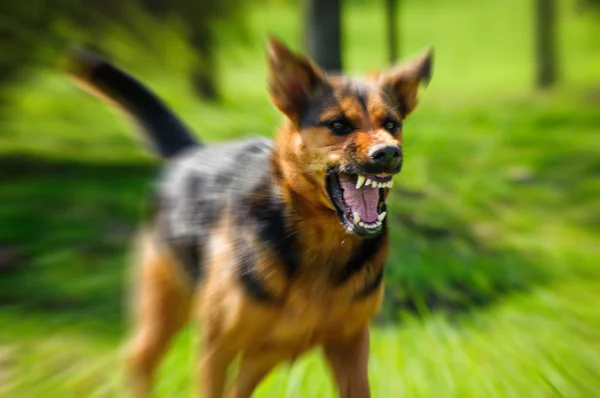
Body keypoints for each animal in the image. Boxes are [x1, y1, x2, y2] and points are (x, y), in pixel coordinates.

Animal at [64, 35, 432, 396]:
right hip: (164, 311)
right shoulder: (216, 348)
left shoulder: (350, 344)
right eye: (338, 125)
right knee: (140, 360)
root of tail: (191, 153)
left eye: (391, 124)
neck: (322, 243)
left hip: (263, 355)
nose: (388, 154)